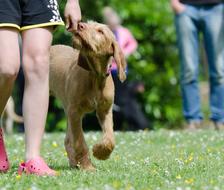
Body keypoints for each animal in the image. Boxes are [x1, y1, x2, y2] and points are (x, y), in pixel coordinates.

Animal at [49, 21, 126, 170]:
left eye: (101, 31)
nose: (80, 25)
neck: (95, 76)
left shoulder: (105, 111)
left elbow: (110, 138)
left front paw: (101, 152)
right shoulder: (75, 112)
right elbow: (80, 142)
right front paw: (87, 166)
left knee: (68, 140)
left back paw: (74, 163)